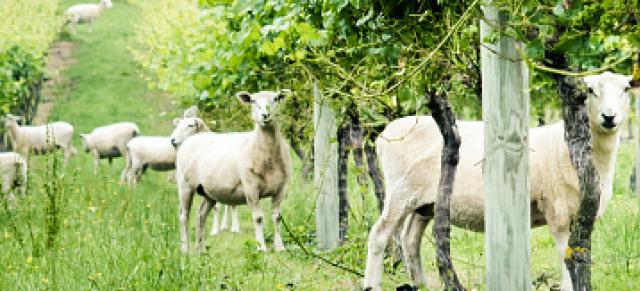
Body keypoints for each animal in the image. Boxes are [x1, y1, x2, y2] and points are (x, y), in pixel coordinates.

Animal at [174, 90, 292, 254]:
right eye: (253, 101)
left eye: (276, 99)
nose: (265, 115)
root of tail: (192, 139)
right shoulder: (251, 187)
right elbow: (258, 218)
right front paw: (261, 247)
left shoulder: (281, 188)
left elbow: (277, 217)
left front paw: (280, 247)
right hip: (185, 185)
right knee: (184, 215)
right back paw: (185, 249)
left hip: (208, 191)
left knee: (201, 214)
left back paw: (201, 249)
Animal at [362, 71, 632, 291]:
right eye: (590, 90)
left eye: (626, 89)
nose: (609, 117)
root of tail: (387, 132)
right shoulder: (557, 211)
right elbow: (565, 254)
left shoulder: (585, 214)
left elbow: (579, 252)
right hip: (400, 191)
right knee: (379, 234)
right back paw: (372, 284)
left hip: (426, 202)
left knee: (410, 240)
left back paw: (421, 284)